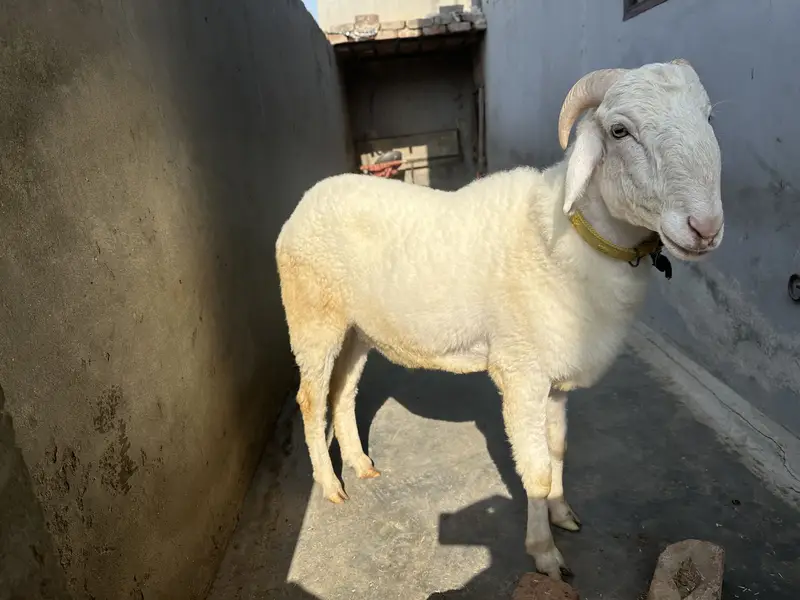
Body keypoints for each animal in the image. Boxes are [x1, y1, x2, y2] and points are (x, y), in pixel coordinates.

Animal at [275, 59, 724, 580]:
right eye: (619, 130)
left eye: (708, 118)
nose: (706, 228)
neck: (568, 237)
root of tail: (308, 199)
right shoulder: (521, 372)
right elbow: (536, 471)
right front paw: (545, 553)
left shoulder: (555, 382)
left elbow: (557, 451)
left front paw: (562, 514)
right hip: (312, 316)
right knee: (311, 399)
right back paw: (330, 486)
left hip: (358, 328)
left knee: (344, 391)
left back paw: (361, 465)